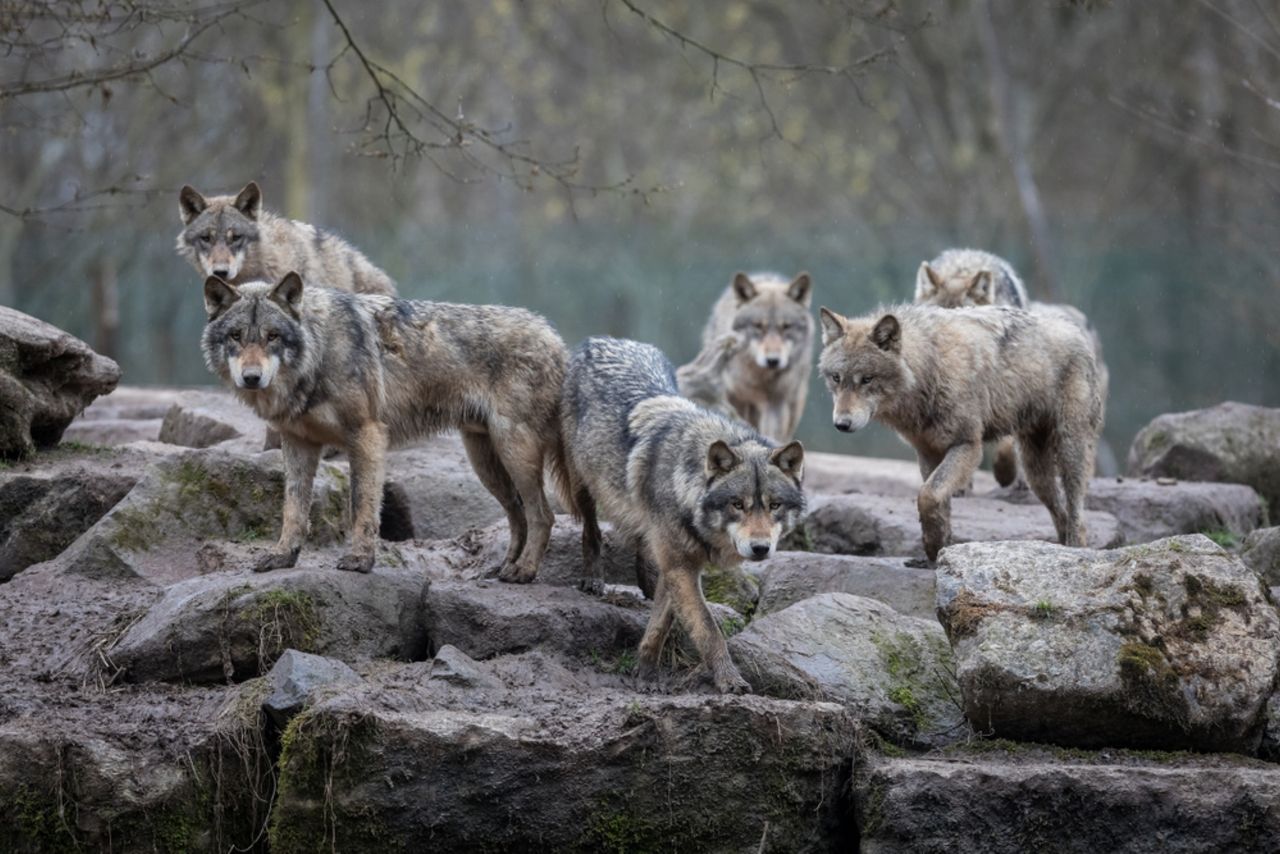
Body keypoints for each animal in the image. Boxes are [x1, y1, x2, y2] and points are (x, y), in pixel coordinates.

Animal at [198, 272, 565, 581]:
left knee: (542, 515)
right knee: (518, 514)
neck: (319, 351)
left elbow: (362, 504)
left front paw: (360, 560)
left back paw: (524, 571)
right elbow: (293, 509)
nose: (251, 378)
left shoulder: (367, 434)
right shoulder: (298, 443)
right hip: (485, 462)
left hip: (513, 452)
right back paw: (504, 566)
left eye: (272, 336)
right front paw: (282, 556)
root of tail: (554, 336)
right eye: (236, 336)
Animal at [558, 335, 803, 696]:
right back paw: (593, 578)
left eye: (774, 505)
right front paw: (729, 680)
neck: (685, 484)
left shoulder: (678, 567)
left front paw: (645, 672)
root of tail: (605, 339)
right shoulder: (681, 567)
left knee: (643, 549)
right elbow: (708, 629)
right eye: (738, 504)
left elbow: (661, 622)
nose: (760, 548)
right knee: (591, 529)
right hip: (582, 485)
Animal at [696, 273, 814, 445]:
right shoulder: (735, 398)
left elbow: (773, 433)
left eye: (786, 327)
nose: (773, 360)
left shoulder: (775, 403)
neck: (759, 378)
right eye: (758, 326)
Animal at [819, 303, 1100, 563]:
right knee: (1062, 513)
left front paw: (934, 546)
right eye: (836, 378)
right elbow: (937, 501)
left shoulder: (968, 446)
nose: (841, 424)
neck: (931, 368)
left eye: (867, 379)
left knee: (1077, 512)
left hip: (1068, 451)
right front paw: (938, 548)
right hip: (1036, 473)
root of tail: (1076, 330)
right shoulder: (927, 452)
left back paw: (1075, 551)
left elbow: (928, 494)